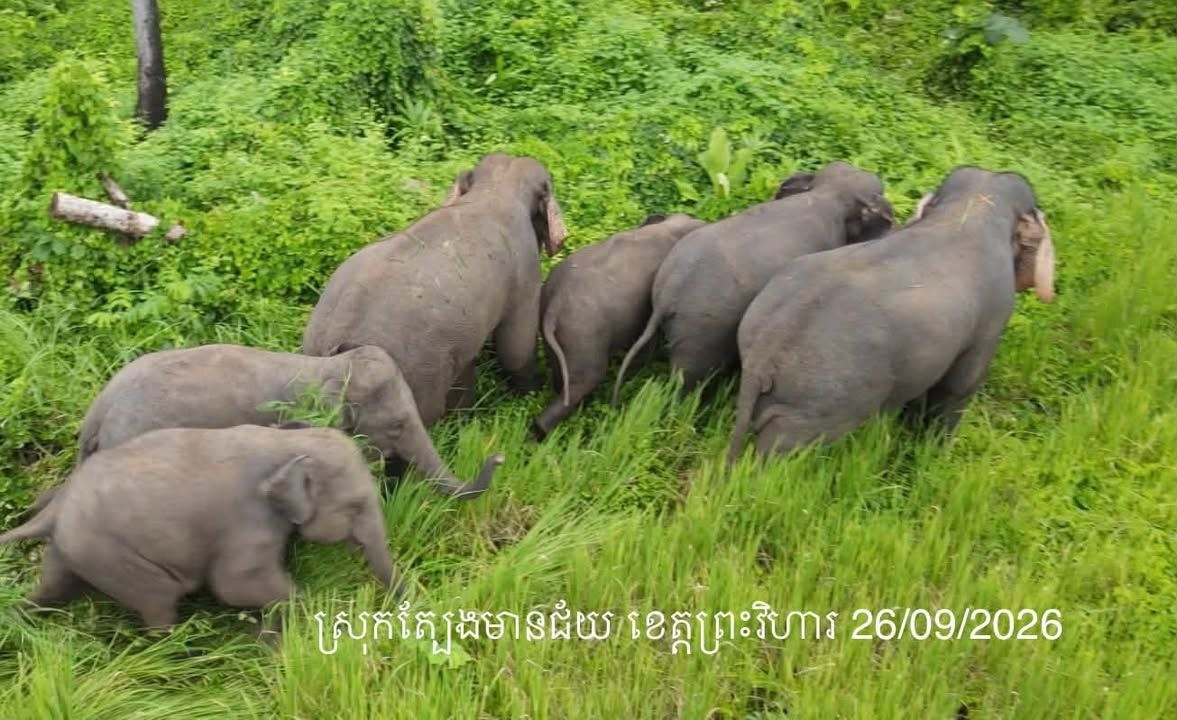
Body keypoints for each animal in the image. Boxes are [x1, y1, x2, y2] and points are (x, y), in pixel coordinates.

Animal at [0, 425, 401, 632]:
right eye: (355, 505)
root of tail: (55, 509)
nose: (400, 603)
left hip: (74, 550)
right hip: (112, 556)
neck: (284, 442)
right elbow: (235, 585)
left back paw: (18, 625)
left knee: (52, 589)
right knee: (159, 600)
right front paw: (308, 606)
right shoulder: (247, 522)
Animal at [531, 212, 707, 439]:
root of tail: (555, 305)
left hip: (556, 335)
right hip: (584, 334)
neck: (672, 227)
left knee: (562, 378)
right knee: (585, 380)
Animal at [727, 165, 1056, 462]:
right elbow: (959, 387)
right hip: (813, 407)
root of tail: (764, 351)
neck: (970, 208)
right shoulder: (992, 318)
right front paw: (937, 454)